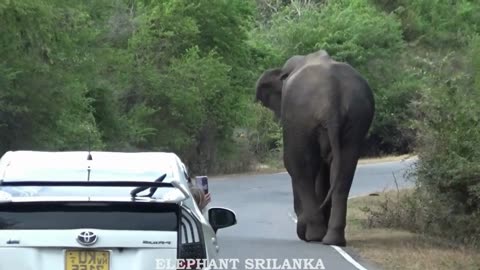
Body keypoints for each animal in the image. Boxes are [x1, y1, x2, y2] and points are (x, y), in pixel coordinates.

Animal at [255, 49, 376, 246]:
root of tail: (332, 95)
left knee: (299, 167)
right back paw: (332, 239)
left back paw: (314, 236)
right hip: (357, 117)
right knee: (343, 172)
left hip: (302, 116)